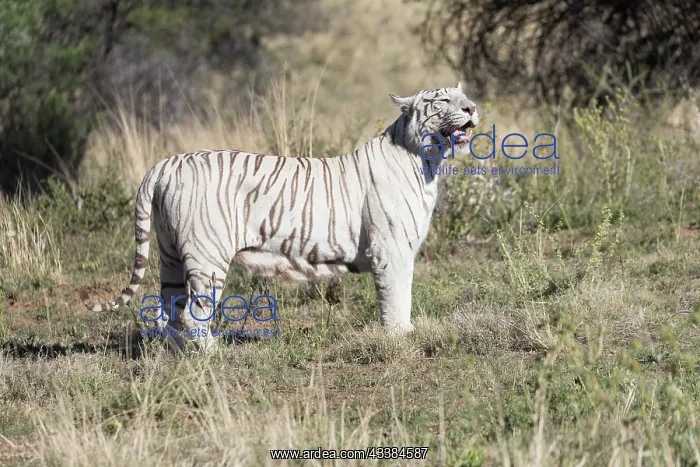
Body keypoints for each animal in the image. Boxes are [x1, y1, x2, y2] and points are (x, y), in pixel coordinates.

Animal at [80, 82, 480, 351]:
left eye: (461, 97)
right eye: (443, 100)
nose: (473, 108)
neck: (427, 162)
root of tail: (165, 163)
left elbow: (404, 294)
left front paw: (407, 333)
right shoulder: (391, 250)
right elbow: (396, 296)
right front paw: (400, 338)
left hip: (169, 254)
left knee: (170, 310)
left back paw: (178, 355)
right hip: (207, 257)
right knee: (194, 313)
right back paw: (212, 354)